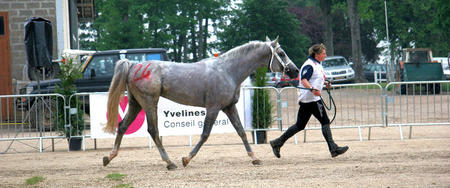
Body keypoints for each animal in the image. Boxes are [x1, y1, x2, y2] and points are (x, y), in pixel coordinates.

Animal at [102, 36, 298, 170]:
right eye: (281, 53)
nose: (295, 70)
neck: (227, 70)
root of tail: (134, 65)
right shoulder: (213, 108)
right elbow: (205, 134)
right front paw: (186, 158)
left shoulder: (229, 107)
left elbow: (241, 131)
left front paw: (254, 157)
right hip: (149, 102)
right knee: (153, 130)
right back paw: (170, 162)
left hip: (136, 104)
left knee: (122, 126)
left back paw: (109, 157)